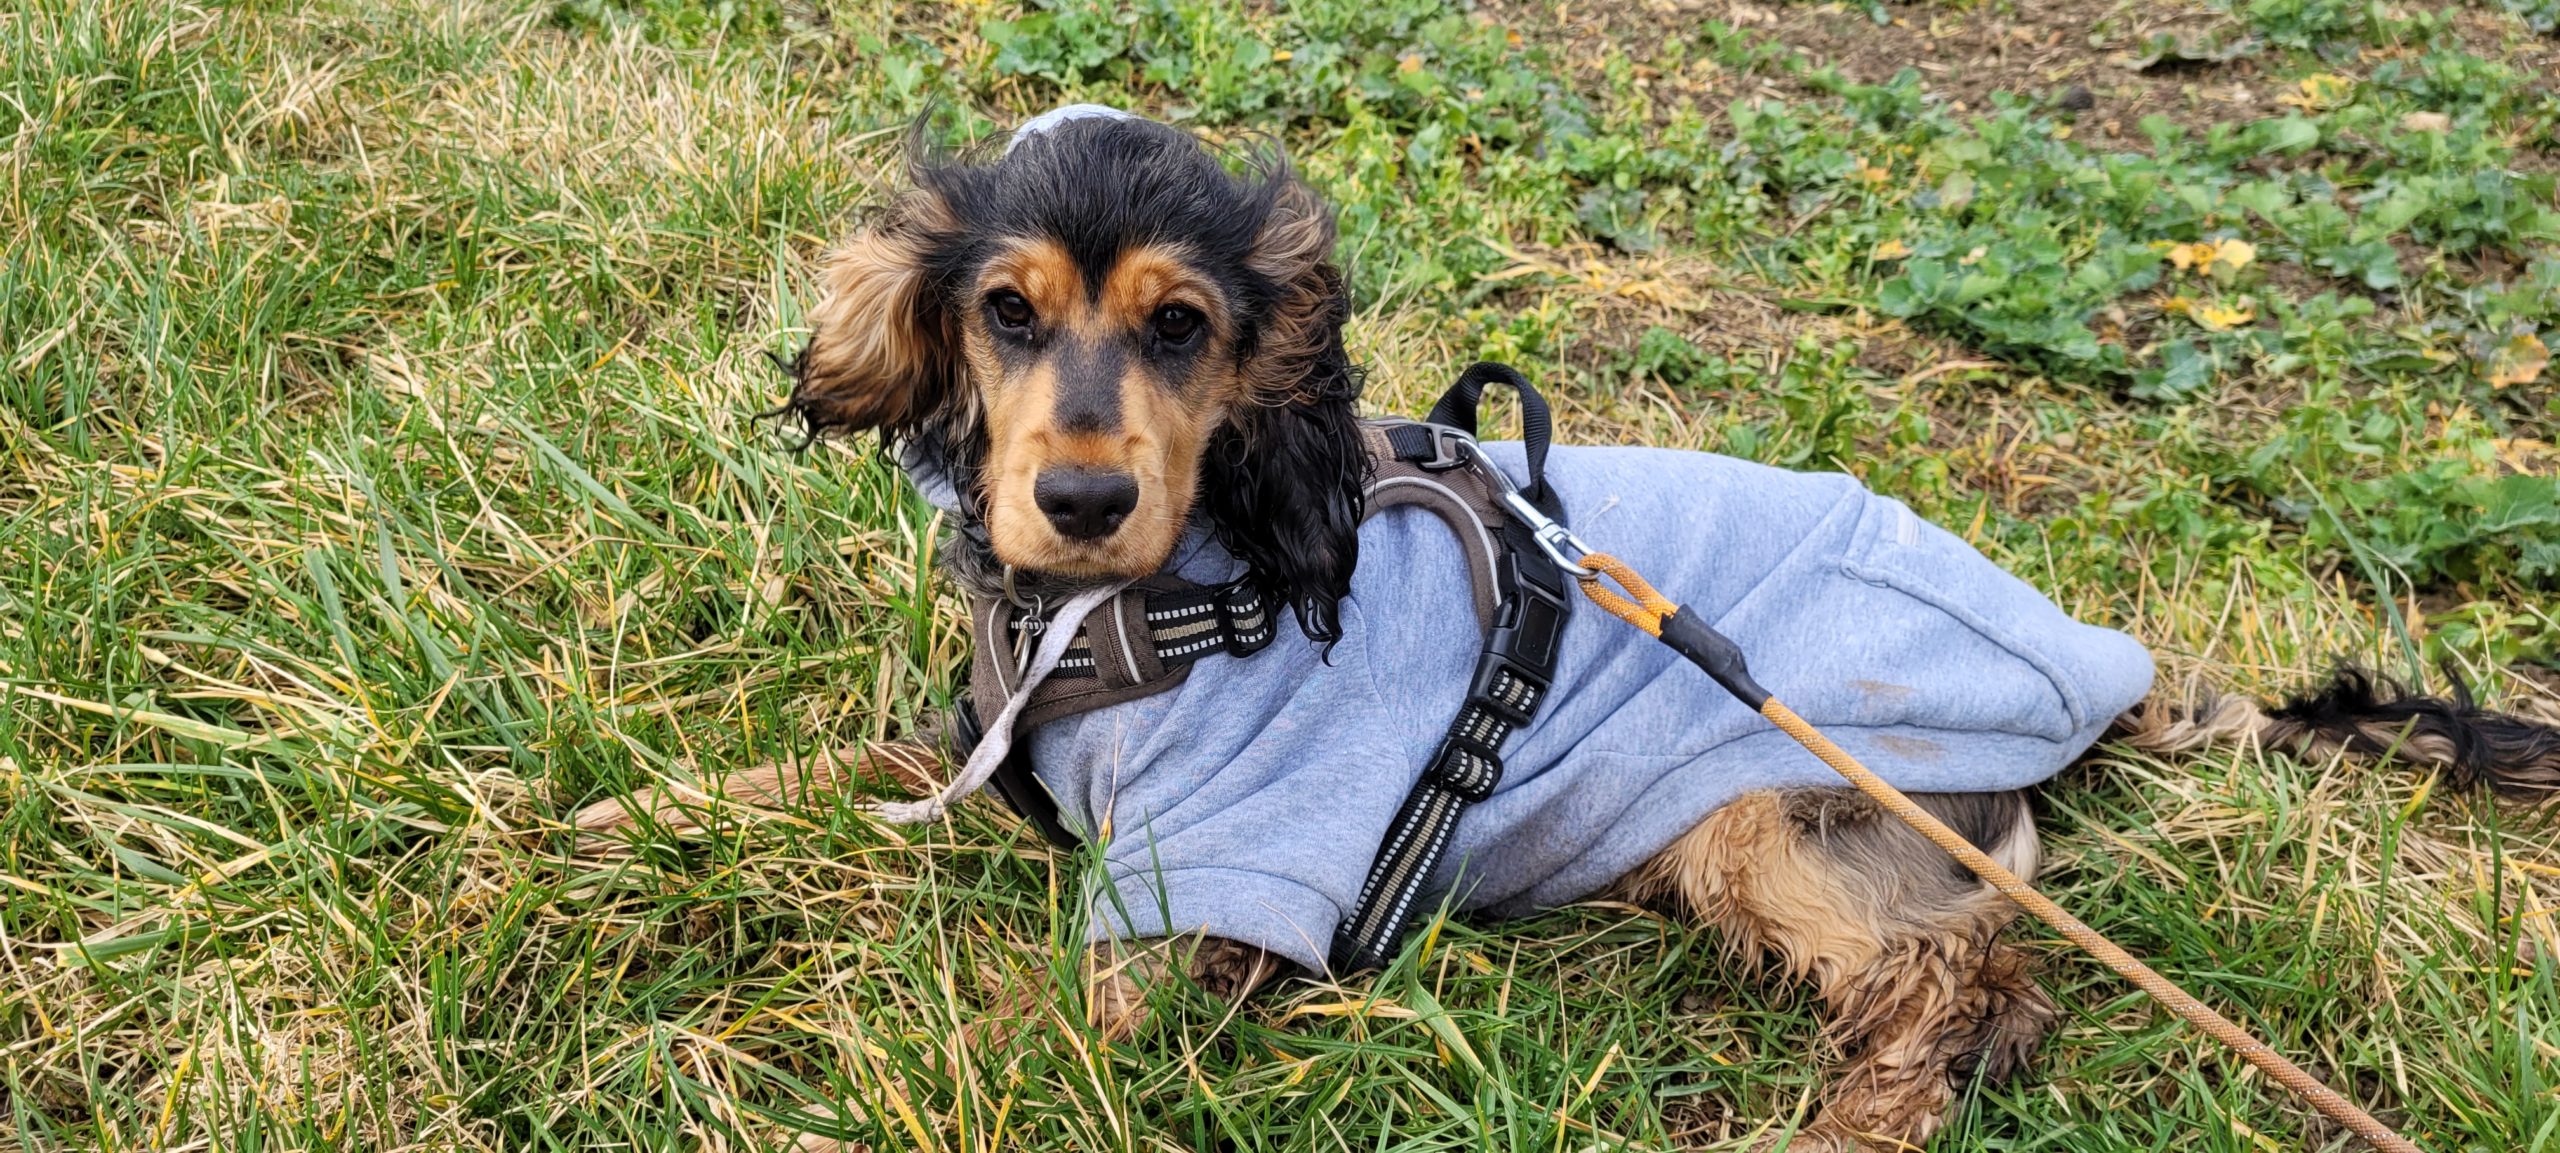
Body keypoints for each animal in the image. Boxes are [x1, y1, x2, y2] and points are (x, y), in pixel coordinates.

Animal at [576, 105, 2560, 1142]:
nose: (1072, 499)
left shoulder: (1214, 897)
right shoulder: (979, 750)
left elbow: (1003, 1025)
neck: (1146, 606)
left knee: (1969, 984)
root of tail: (2108, 673)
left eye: (1184, 327)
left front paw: (756, 1080)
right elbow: (790, 778)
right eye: (1003, 309)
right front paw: (578, 819)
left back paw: (1850, 1119)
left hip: (1778, 801)